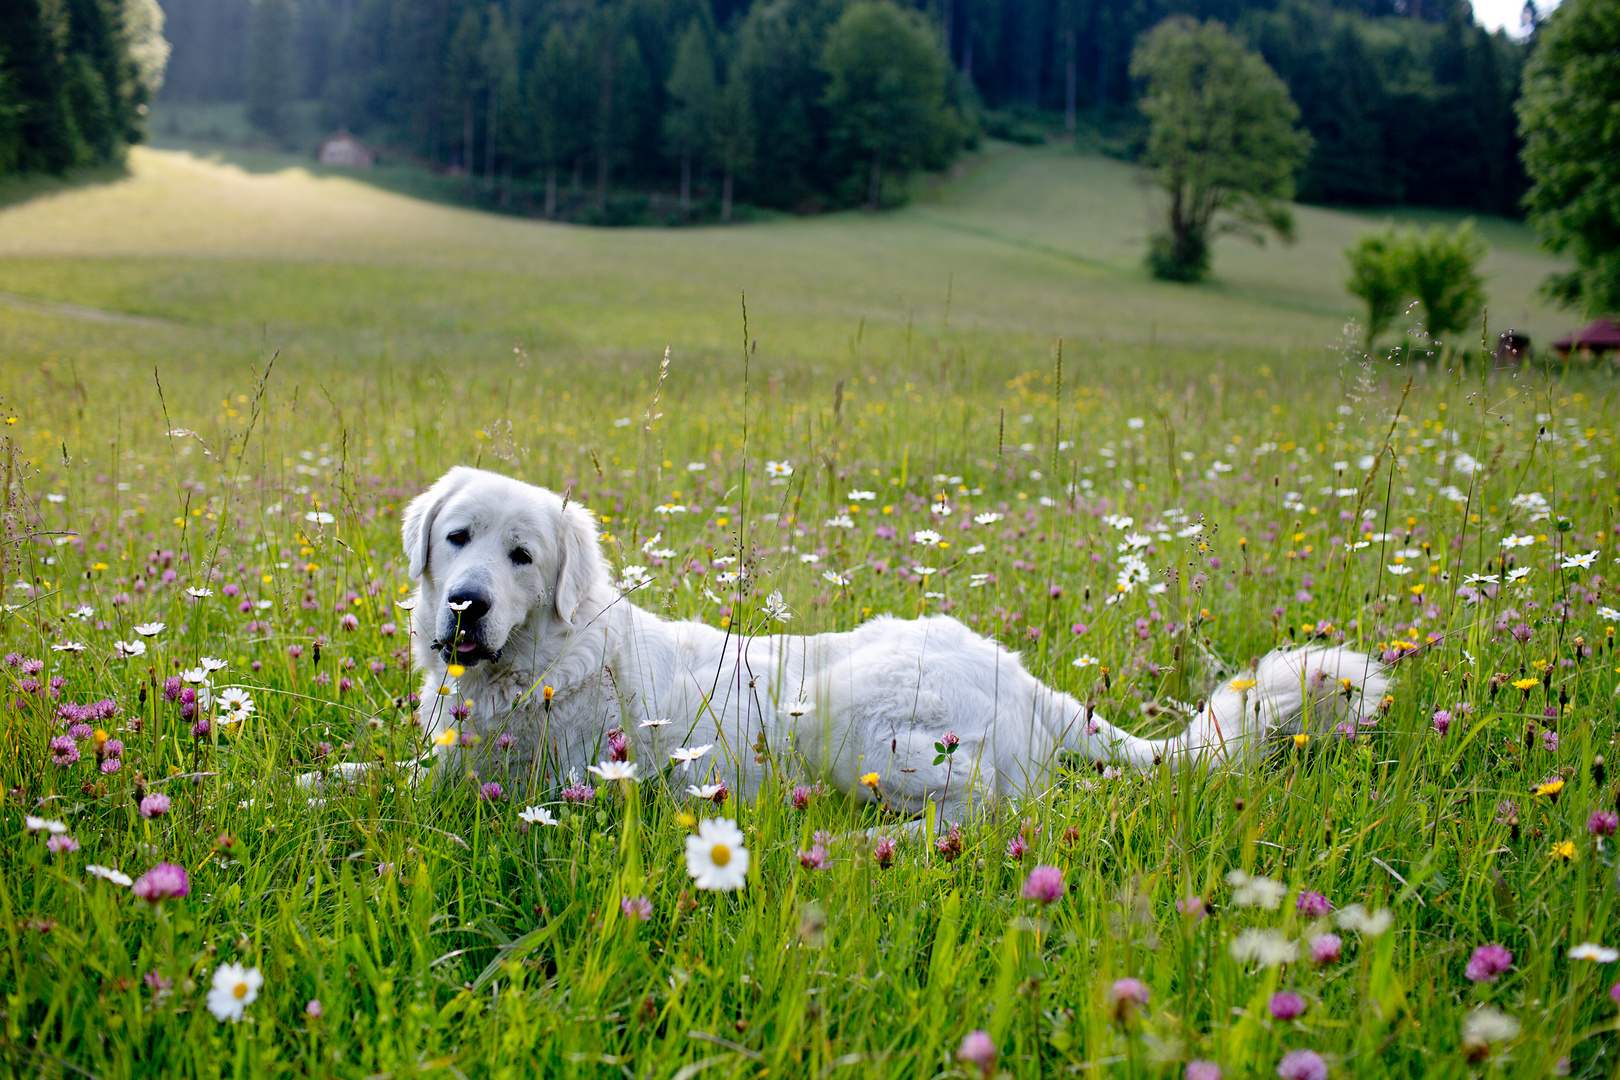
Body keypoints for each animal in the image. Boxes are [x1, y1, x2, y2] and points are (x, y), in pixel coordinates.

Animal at [351, 466, 1380, 819]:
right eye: (457, 539)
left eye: (523, 556)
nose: (467, 606)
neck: (538, 664)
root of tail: (1023, 676)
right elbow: (356, 775)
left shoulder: (502, 783)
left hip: (857, 722)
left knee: (990, 813)